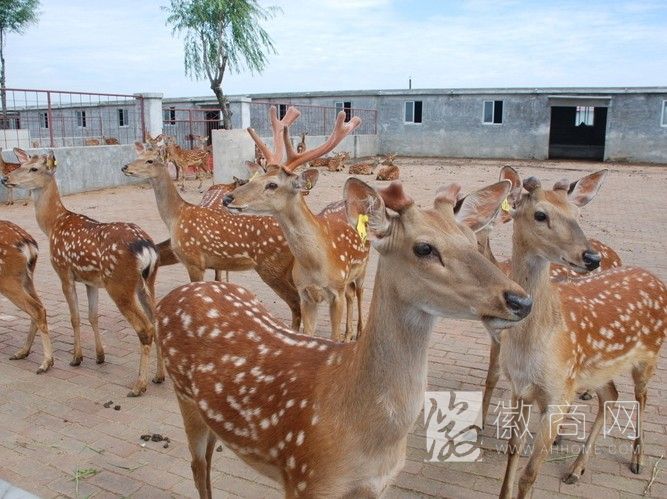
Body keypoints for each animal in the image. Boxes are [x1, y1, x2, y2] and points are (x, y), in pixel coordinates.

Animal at [0, 220, 53, 373]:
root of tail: (30, 245)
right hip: (26, 278)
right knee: (40, 307)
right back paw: (23, 352)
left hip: (8, 279)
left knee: (37, 309)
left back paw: (45, 363)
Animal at [156, 176, 533, 499]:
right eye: (424, 248)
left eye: (472, 241)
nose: (521, 300)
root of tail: (174, 297)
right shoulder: (305, 479)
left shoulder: (376, 486)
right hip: (185, 397)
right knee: (198, 467)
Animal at [224, 108, 370, 342]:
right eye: (255, 178)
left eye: (272, 184)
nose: (228, 198)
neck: (316, 265)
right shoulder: (305, 293)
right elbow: (309, 333)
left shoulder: (335, 291)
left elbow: (333, 337)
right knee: (350, 294)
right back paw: (348, 333)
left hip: (363, 267)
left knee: (359, 293)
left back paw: (358, 332)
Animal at [493, 167, 665, 499]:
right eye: (540, 214)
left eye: (578, 215)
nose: (591, 257)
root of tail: (655, 278)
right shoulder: (520, 388)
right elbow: (512, 450)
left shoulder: (560, 392)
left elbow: (529, 473)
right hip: (594, 370)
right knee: (611, 395)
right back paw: (576, 468)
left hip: (649, 355)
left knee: (642, 397)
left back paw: (637, 460)